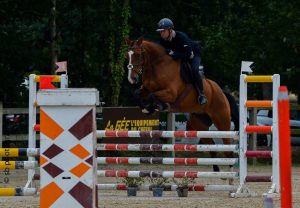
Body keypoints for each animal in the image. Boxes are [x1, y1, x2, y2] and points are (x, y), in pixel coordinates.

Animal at [124, 36, 239, 179]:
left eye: (138, 54)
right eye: (127, 55)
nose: (131, 79)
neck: (156, 66)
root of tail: (222, 92)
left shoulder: (170, 93)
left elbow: (152, 96)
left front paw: (158, 106)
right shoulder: (145, 88)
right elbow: (138, 94)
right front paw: (147, 108)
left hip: (222, 121)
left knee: (228, 148)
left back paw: (230, 175)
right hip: (199, 124)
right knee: (211, 147)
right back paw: (216, 171)